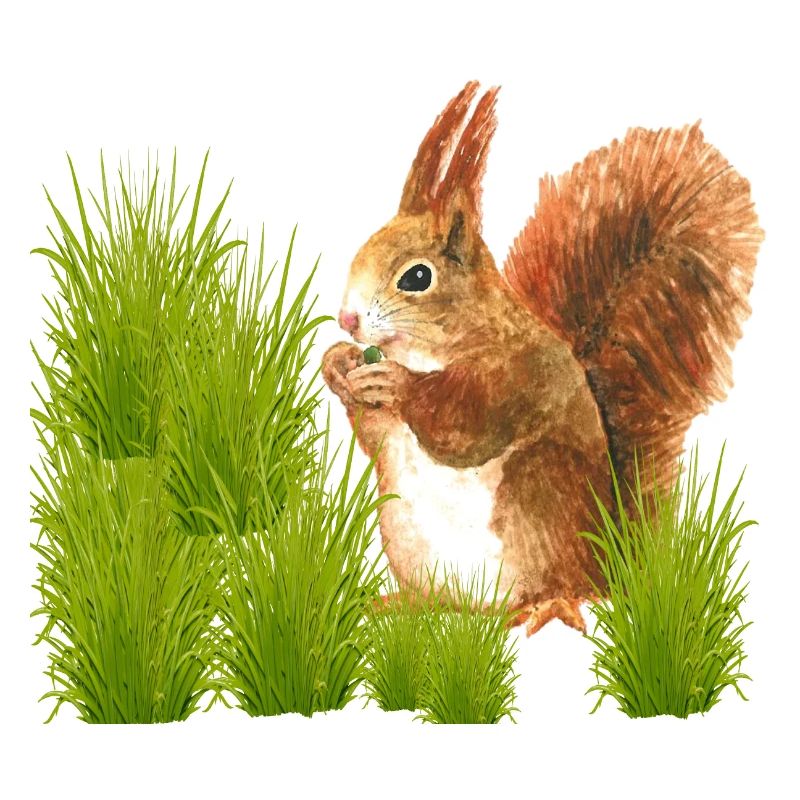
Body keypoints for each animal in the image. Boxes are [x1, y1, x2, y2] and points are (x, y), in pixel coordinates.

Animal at [322, 81, 762, 634]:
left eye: (417, 277)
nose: (347, 320)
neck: (435, 348)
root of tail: (608, 562)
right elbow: (376, 436)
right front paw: (339, 366)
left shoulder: (518, 375)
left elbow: (464, 425)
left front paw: (396, 383)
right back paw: (402, 604)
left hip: (539, 496)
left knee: (561, 587)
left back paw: (543, 606)